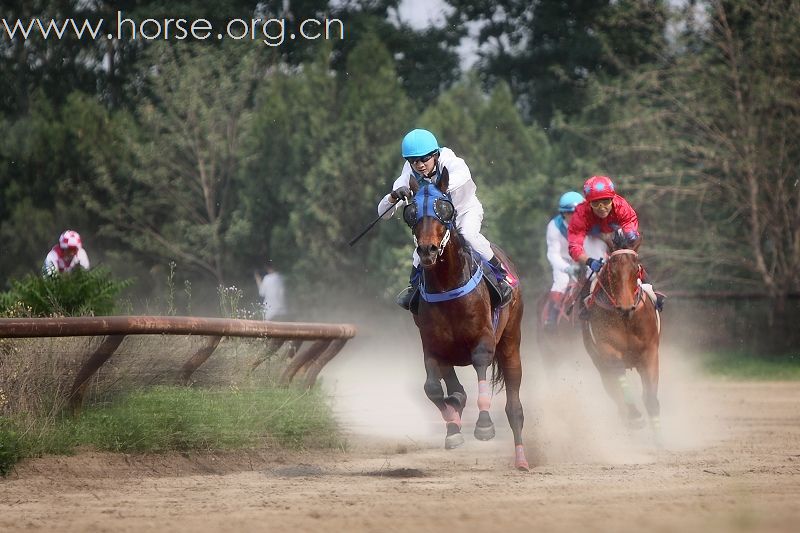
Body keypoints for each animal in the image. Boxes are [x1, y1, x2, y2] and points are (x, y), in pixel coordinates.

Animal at [404, 170, 528, 470]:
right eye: (411, 212)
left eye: (444, 207)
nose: (427, 250)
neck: (447, 286)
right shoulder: (432, 346)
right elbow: (432, 388)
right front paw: (453, 429)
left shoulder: (483, 339)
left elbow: (481, 364)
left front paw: (483, 425)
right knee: (454, 387)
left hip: (511, 342)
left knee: (514, 408)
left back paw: (521, 460)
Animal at [580, 233, 664, 440]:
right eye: (613, 270)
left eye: (636, 269)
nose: (626, 307)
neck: (626, 319)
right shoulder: (607, 350)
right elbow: (617, 373)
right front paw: (634, 415)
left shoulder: (650, 352)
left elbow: (650, 395)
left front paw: (659, 436)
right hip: (599, 363)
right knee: (614, 391)